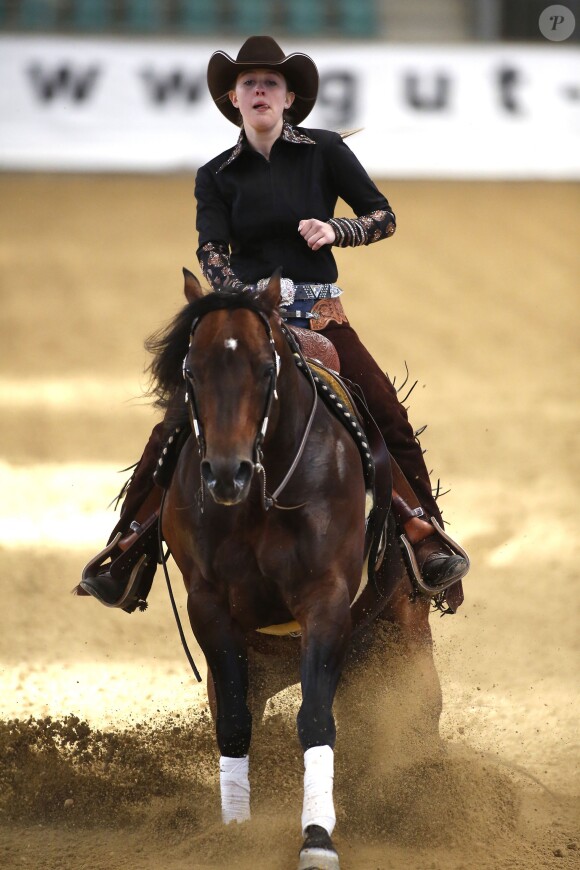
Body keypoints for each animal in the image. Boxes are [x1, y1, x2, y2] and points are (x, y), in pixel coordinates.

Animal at [149, 269, 441, 870]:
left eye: (266, 368)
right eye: (190, 371)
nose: (227, 473)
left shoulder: (326, 600)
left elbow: (316, 720)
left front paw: (317, 838)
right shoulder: (208, 607)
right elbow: (235, 722)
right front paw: (236, 834)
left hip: (403, 640)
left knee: (421, 720)